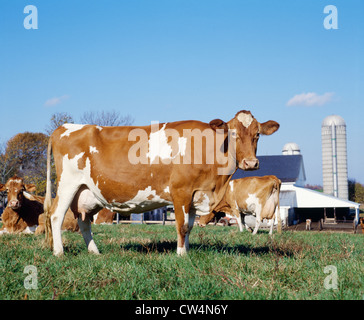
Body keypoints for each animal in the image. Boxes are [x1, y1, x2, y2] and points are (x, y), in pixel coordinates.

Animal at [44, 110, 278, 255]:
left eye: (258, 134)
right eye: (233, 133)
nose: (251, 163)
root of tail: (63, 128)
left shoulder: (195, 195)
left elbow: (189, 227)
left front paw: (187, 251)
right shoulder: (181, 192)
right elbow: (182, 226)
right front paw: (181, 255)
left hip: (86, 193)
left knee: (83, 221)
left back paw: (94, 251)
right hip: (67, 185)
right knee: (56, 215)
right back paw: (59, 252)